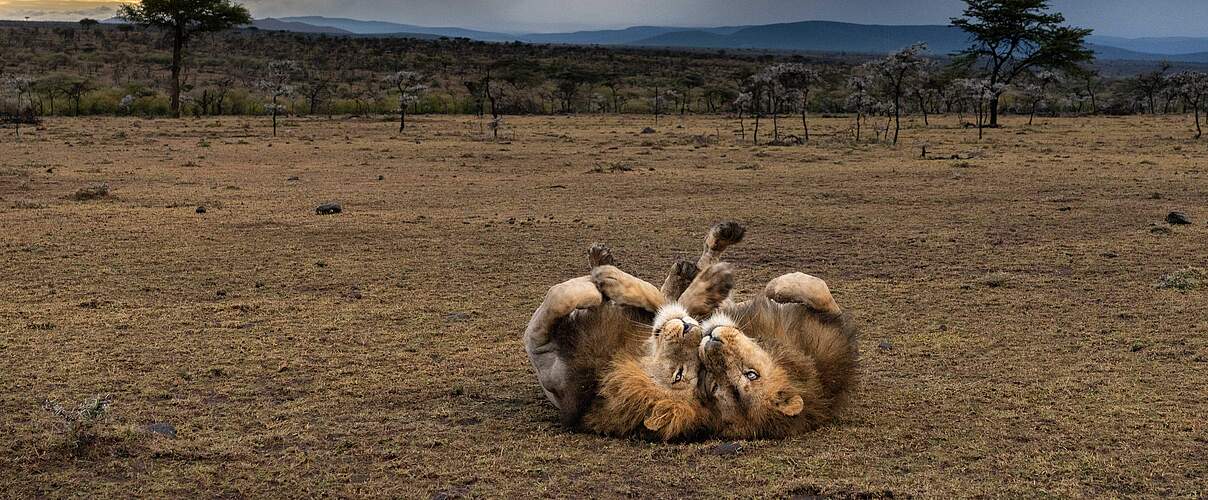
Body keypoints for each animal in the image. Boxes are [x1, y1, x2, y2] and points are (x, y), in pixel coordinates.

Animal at [700, 271, 860, 439]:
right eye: (715, 385)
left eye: (751, 375)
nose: (712, 344)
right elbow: (820, 291)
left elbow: (819, 290)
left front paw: (774, 287)